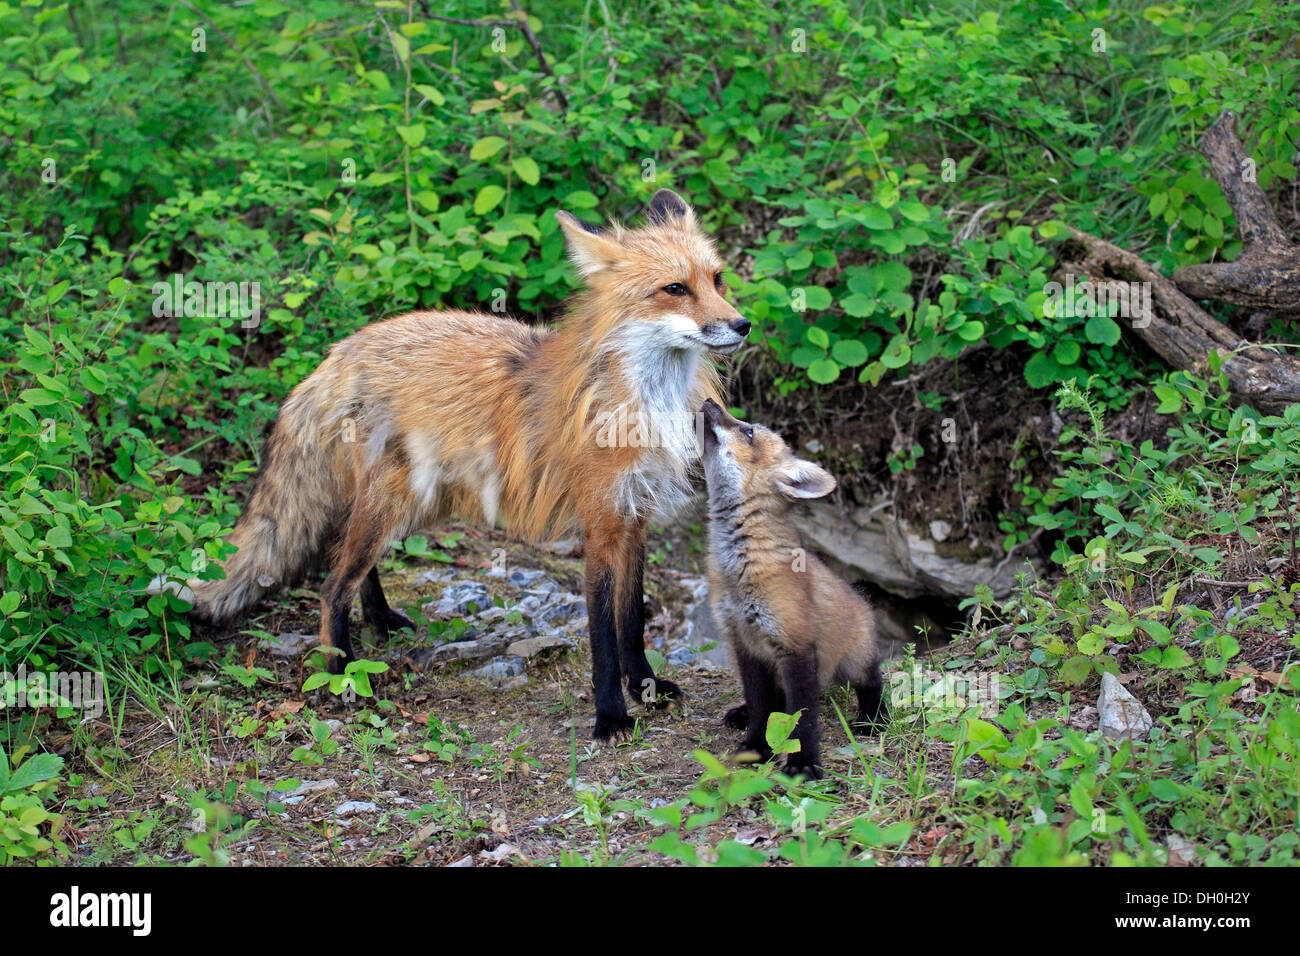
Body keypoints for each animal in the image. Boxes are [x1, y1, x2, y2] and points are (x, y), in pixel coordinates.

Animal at [163, 187, 754, 738]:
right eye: (675, 289)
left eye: (717, 280)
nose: (743, 324)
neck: (643, 403)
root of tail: (339, 351)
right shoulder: (601, 523)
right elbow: (602, 639)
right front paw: (611, 716)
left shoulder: (635, 517)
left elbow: (631, 622)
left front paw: (646, 688)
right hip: (398, 498)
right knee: (331, 587)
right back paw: (341, 673)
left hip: (404, 501)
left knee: (352, 566)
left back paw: (378, 621)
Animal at [702, 398, 883, 780]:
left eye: (748, 432)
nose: (710, 402)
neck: (740, 571)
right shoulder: (745, 645)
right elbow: (761, 707)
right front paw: (756, 748)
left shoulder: (796, 644)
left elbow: (803, 716)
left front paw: (803, 763)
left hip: (855, 659)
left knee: (872, 681)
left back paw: (873, 719)